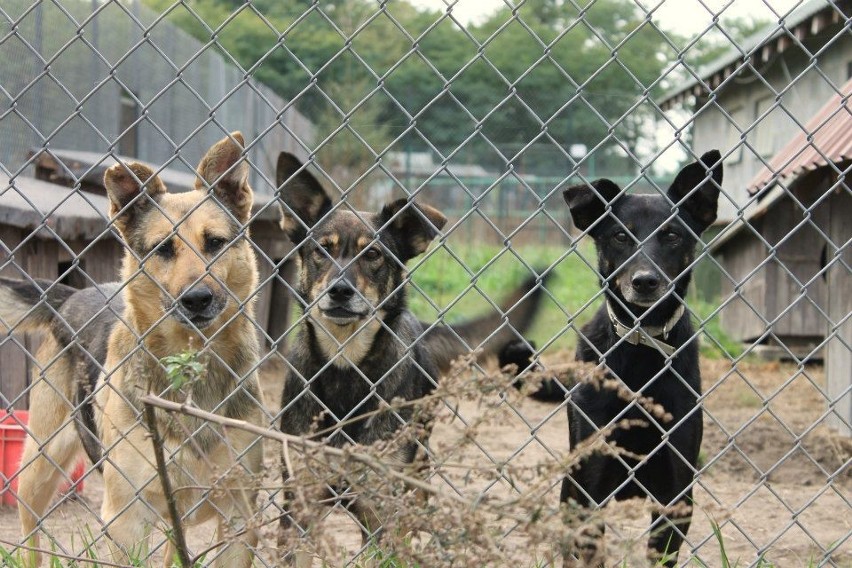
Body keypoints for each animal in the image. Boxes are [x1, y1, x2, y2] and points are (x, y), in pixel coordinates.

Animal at [0, 132, 262, 564]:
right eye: (163, 249)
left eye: (215, 243)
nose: (197, 299)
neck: (191, 366)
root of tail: (74, 293)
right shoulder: (126, 521)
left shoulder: (240, 519)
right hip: (39, 465)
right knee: (30, 535)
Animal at [276, 152, 548, 552]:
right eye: (321, 250)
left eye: (373, 254)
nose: (340, 291)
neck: (346, 361)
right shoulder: (299, 502)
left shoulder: (380, 502)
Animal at [564, 150, 724, 564]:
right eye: (621, 235)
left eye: (672, 234)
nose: (645, 281)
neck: (640, 343)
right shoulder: (588, 489)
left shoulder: (675, 495)